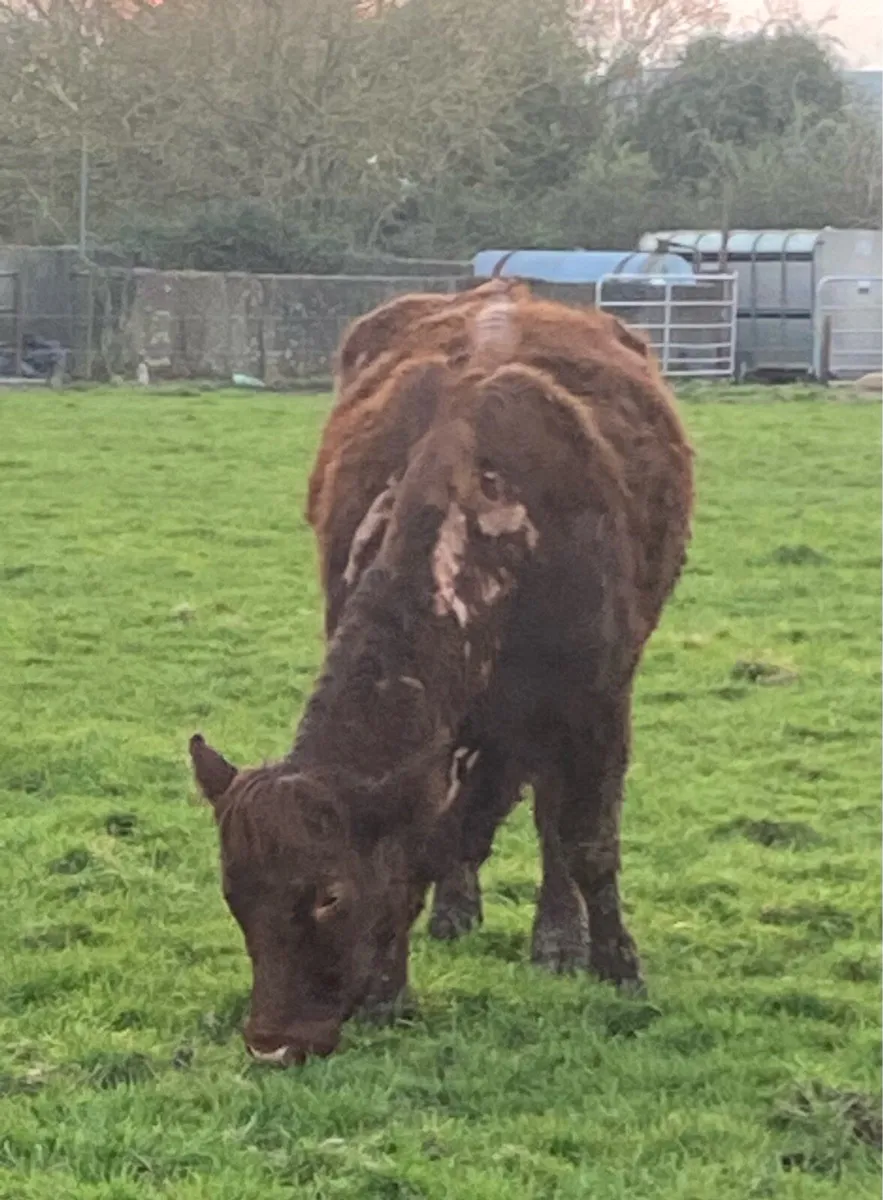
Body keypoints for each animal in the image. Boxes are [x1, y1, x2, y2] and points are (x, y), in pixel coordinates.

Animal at [189, 285, 694, 1065]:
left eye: (329, 894)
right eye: (234, 894)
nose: (272, 1042)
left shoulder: (597, 700)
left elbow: (586, 841)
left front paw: (616, 966)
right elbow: (429, 842)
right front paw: (391, 988)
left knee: (547, 816)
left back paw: (557, 937)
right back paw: (461, 912)